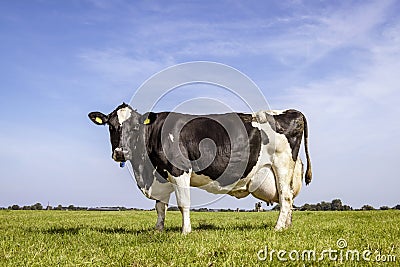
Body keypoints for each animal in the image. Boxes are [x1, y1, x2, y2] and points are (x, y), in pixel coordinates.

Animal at [89, 103, 310, 233]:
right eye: (111, 126)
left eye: (135, 127)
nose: (121, 152)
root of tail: (293, 111)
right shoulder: (160, 175)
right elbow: (160, 207)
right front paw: (158, 230)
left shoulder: (179, 170)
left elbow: (183, 204)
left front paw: (185, 231)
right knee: (289, 198)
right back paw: (287, 226)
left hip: (281, 165)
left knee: (285, 198)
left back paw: (278, 228)